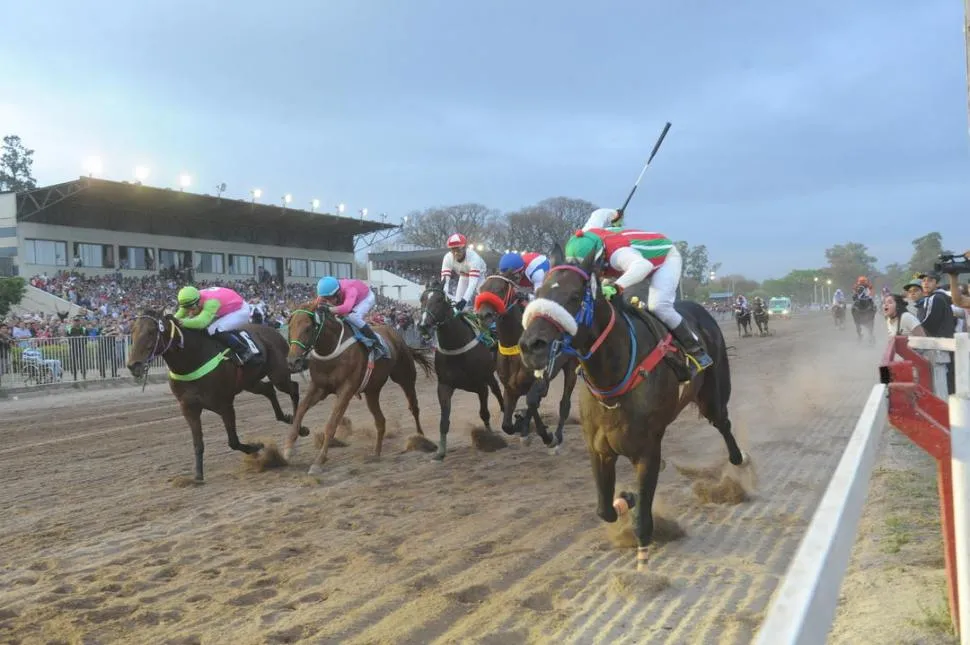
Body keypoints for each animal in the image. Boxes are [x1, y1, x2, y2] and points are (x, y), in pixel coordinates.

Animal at [125, 310, 306, 480]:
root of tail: (273, 330)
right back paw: (287, 418)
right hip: (250, 383)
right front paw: (198, 476)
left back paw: (298, 428)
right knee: (269, 390)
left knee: (293, 388)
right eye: (132, 330)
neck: (192, 359)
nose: (134, 365)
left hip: (279, 375)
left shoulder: (225, 404)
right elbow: (198, 443)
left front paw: (257, 447)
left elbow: (233, 442)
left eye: (151, 331)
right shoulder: (189, 408)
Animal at [282, 300, 430, 472]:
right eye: (290, 327)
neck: (330, 350)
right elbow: (299, 412)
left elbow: (331, 424)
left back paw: (420, 438)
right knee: (380, 421)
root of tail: (394, 333)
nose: (293, 361)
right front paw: (287, 450)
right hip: (372, 391)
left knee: (413, 407)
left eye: (308, 328)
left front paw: (319, 461)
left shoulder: (346, 390)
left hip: (405, 376)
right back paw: (376, 453)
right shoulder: (319, 388)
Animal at [416, 280, 506, 460]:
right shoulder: (444, 386)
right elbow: (444, 421)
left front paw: (491, 439)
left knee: (498, 391)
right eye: (422, 299)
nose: (423, 325)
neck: (456, 346)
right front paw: (440, 452)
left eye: (439, 300)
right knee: (496, 389)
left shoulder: (480, 385)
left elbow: (484, 413)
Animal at [474, 270, 580, 448]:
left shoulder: (539, 382)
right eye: (481, 289)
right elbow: (507, 425)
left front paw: (545, 435)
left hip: (572, 366)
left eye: (501, 289)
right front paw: (520, 425)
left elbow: (532, 402)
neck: (514, 349)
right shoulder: (510, 388)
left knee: (565, 404)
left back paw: (557, 435)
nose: (483, 315)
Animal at [516, 245, 748, 568]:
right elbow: (605, 510)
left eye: (574, 296)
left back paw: (739, 459)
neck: (613, 382)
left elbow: (643, 515)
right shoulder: (599, 450)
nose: (530, 346)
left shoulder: (647, 450)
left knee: (723, 424)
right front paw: (624, 498)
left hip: (713, 395)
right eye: (537, 294)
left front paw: (642, 553)